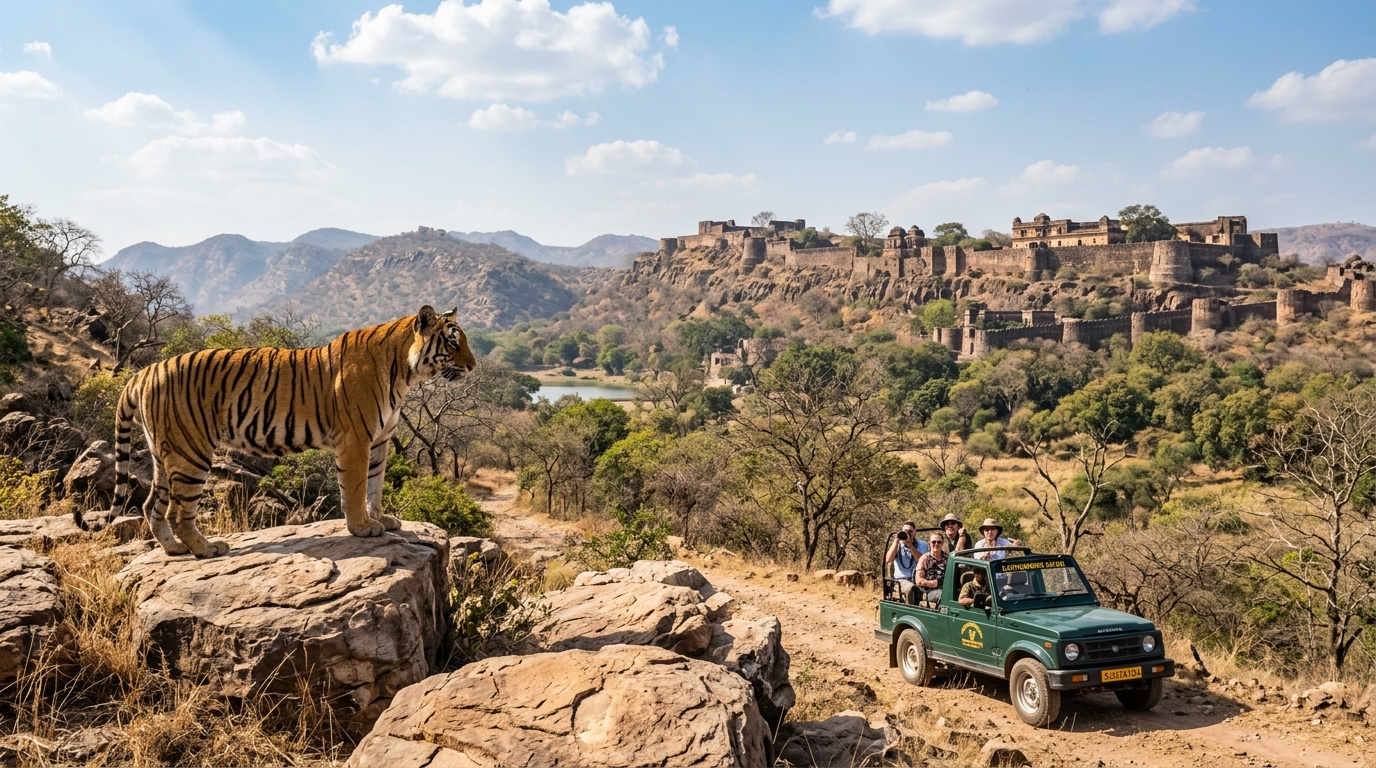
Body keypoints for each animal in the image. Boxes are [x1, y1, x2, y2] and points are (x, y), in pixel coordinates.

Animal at [90, 305, 476, 558]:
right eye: (453, 343)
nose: (473, 366)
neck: (405, 373)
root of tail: (146, 371)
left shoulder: (380, 440)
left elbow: (375, 486)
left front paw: (381, 519)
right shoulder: (356, 440)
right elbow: (354, 488)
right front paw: (362, 527)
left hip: (164, 453)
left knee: (152, 504)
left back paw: (174, 549)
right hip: (191, 452)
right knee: (177, 511)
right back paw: (207, 549)